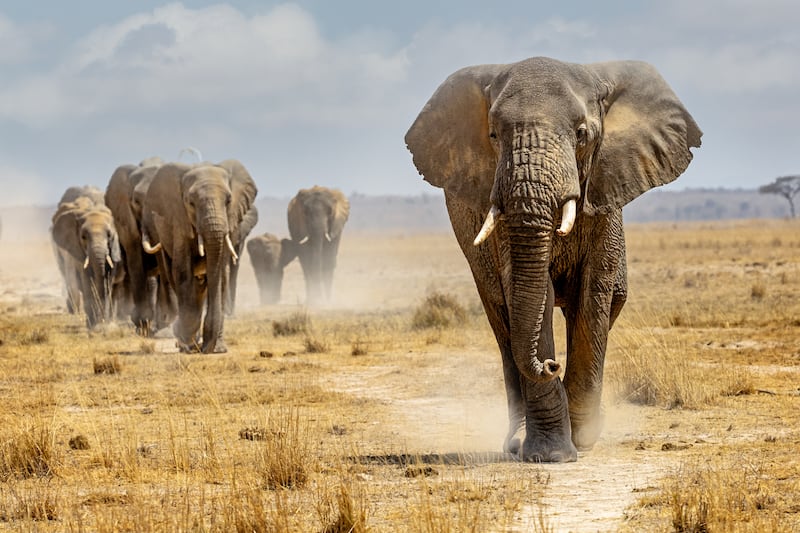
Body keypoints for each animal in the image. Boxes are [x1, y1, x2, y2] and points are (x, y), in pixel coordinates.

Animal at [51, 189, 122, 328]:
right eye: (83, 237)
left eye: (109, 235)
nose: (102, 320)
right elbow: (86, 279)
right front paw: (93, 324)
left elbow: (109, 279)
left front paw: (103, 322)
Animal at [142, 159, 257, 353]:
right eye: (191, 203)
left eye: (228, 200)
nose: (206, 347)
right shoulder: (179, 221)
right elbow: (183, 271)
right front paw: (187, 343)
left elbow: (221, 275)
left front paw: (217, 349)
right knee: (174, 276)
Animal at [405, 57, 701, 462]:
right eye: (493, 135)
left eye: (581, 134)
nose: (550, 365)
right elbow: (531, 292)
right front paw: (551, 455)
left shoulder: (605, 192)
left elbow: (594, 292)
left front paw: (583, 439)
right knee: (504, 323)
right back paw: (517, 439)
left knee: (609, 302)